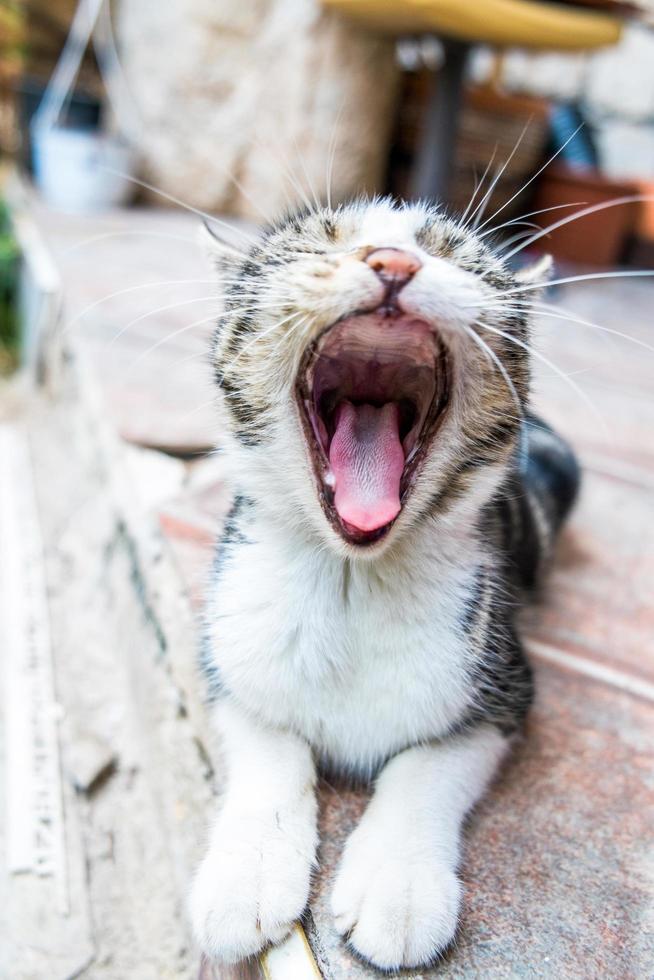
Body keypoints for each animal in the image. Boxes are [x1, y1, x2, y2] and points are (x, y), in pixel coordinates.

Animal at [188, 199, 580, 972]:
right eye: (319, 243)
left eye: (455, 255)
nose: (393, 262)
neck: (352, 577)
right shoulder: (226, 649)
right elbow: (266, 740)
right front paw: (246, 876)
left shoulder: (504, 682)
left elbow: (429, 765)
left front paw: (398, 887)